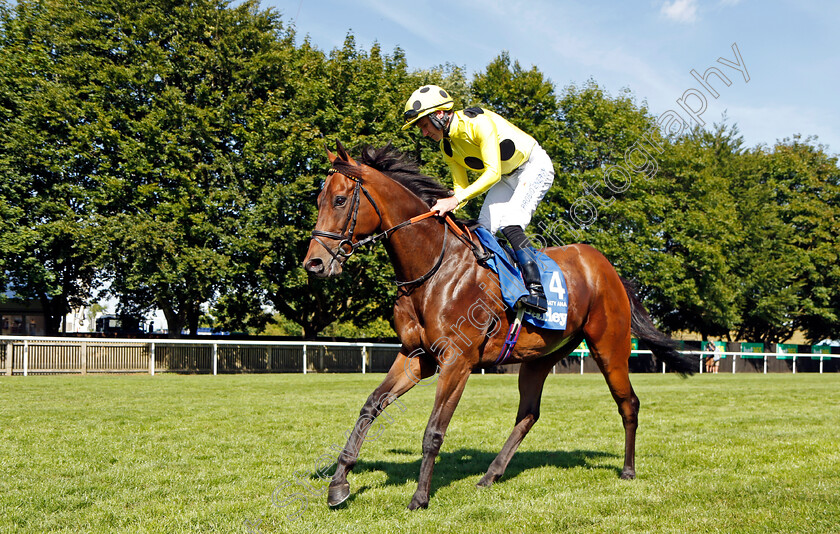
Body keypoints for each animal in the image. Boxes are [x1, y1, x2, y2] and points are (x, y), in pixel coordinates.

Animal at [304, 144, 696, 512]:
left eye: (340, 200)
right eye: (320, 199)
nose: (315, 263)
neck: (434, 268)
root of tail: (607, 268)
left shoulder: (457, 361)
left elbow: (434, 431)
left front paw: (419, 498)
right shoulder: (415, 356)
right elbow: (370, 407)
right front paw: (338, 484)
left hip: (609, 346)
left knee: (628, 402)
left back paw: (628, 470)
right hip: (541, 356)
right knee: (529, 413)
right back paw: (491, 474)